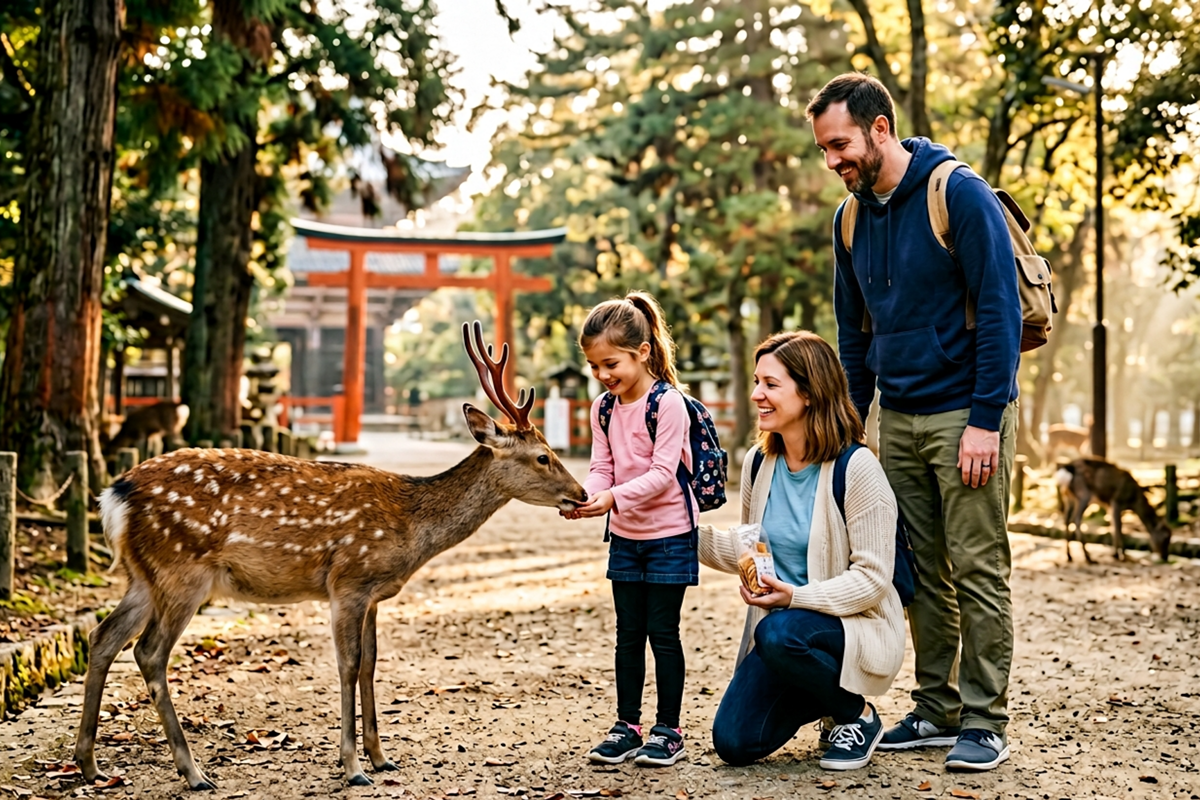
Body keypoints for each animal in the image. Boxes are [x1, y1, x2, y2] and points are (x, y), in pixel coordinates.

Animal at [75, 322, 588, 790]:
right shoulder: (348, 581)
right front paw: (353, 767)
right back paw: (194, 773)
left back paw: (90, 766)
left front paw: (382, 758)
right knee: (149, 652)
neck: (411, 528)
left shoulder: (374, 594)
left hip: (143, 575)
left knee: (103, 637)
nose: (582, 493)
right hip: (182, 570)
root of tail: (114, 495)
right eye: (543, 456)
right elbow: (347, 665)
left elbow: (371, 664)